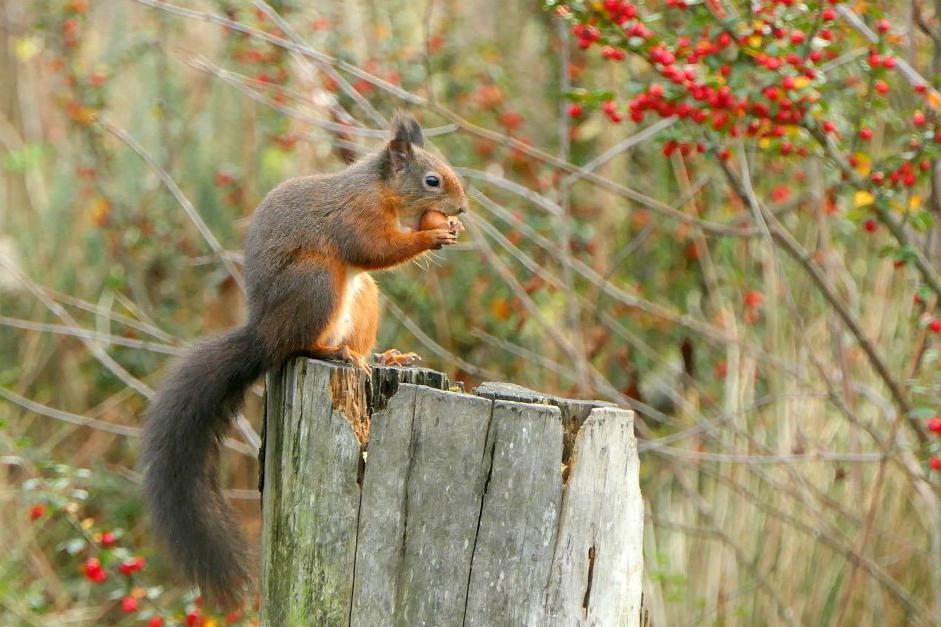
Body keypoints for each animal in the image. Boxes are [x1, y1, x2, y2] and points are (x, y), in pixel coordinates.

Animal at [142, 112, 467, 607]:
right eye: (432, 180)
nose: (462, 210)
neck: (383, 192)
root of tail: (264, 334)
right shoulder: (356, 217)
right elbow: (374, 248)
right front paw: (432, 233)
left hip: (364, 297)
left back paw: (384, 356)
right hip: (316, 284)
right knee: (298, 346)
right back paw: (332, 351)